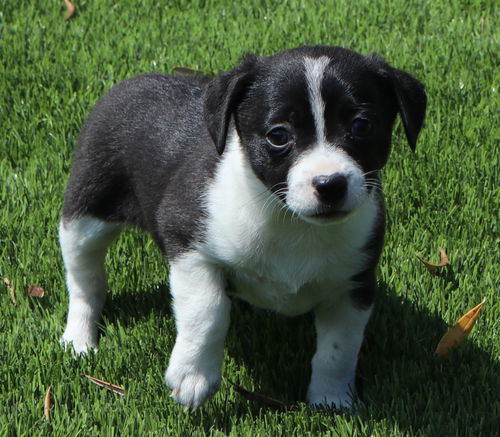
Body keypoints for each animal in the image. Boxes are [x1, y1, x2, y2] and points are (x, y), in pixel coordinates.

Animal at [58, 46, 426, 408]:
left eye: (362, 127)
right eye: (278, 135)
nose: (329, 184)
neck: (288, 218)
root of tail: (133, 81)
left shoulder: (354, 282)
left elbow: (340, 348)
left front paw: (332, 397)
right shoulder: (187, 243)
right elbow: (208, 310)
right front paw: (193, 376)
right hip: (85, 215)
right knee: (86, 281)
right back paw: (80, 338)